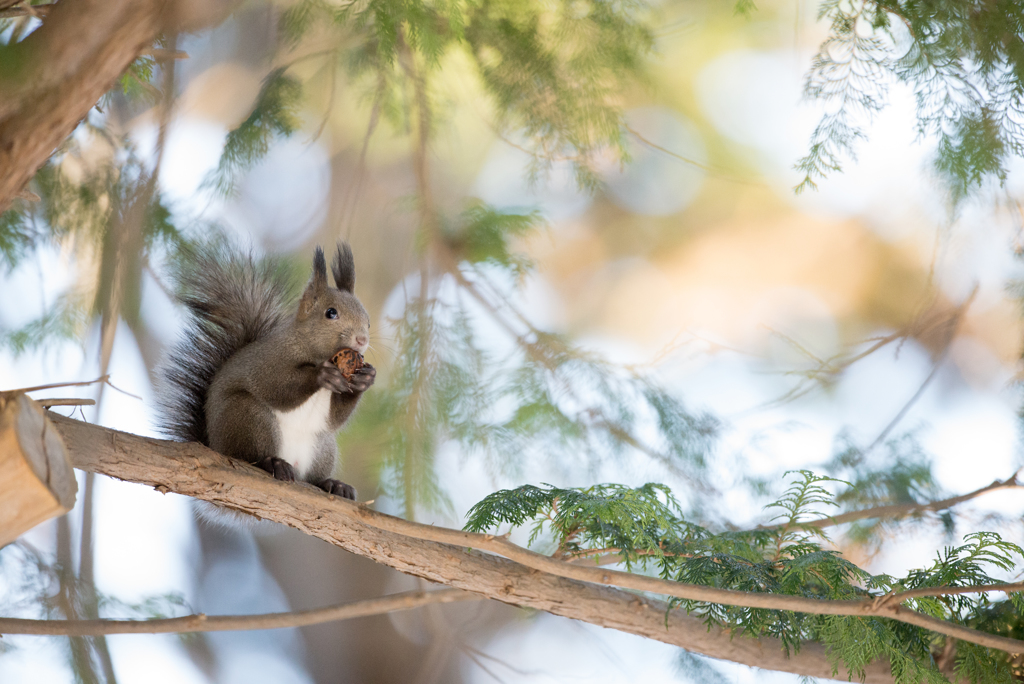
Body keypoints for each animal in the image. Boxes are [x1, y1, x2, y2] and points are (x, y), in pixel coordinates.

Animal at [161, 240, 378, 501]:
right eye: (331, 313)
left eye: (368, 321)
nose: (362, 340)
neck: (311, 350)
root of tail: (214, 444)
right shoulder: (268, 362)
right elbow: (276, 389)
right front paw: (321, 375)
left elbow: (335, 419)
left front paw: (365, 379)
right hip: (248, 417)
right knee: (250, 455)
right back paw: (271, 463)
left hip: (323, 445)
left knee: (314, 474)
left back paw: (332, 484)